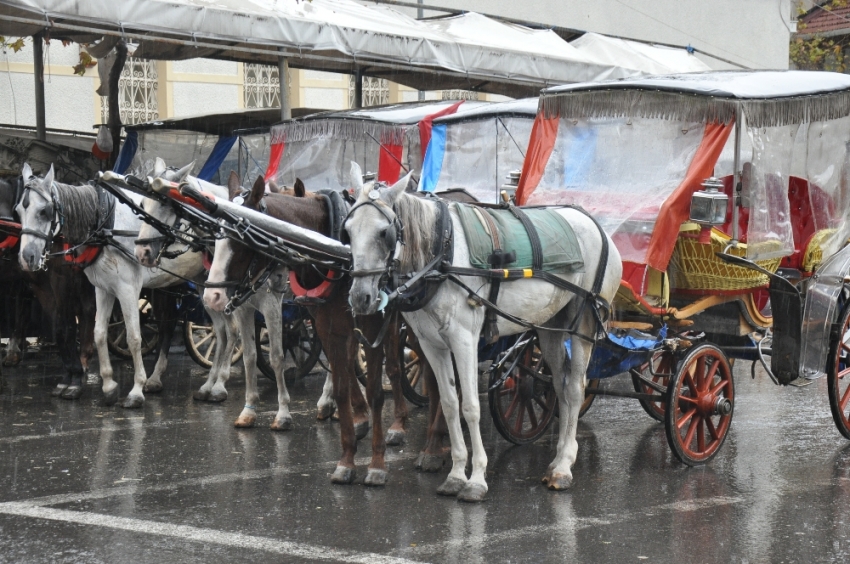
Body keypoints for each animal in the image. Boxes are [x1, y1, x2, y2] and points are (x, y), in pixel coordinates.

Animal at [17, 161, 202, 408]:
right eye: (19, 211)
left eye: (44, 211)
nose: (27, 257)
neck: (105, 226)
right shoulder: (103, 288)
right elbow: (98, 333)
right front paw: (108, 386)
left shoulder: (127, 289)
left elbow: (134, 337)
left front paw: (136, 390)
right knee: (171, 324)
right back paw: (160, 378)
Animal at [344, 163, 624, 502]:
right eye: (347, 231)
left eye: (384, 233)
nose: (360, 297)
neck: (442, 255)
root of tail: (597, 226)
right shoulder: (431, 344)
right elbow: (450, 404)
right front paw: (455, 473)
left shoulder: (464, 340)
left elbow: (471, 407)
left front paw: (476, 478)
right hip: (552, 327)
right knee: (560, 385)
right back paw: (557, 459)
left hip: (583, 325)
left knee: (575, 388)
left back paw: (564, 467)